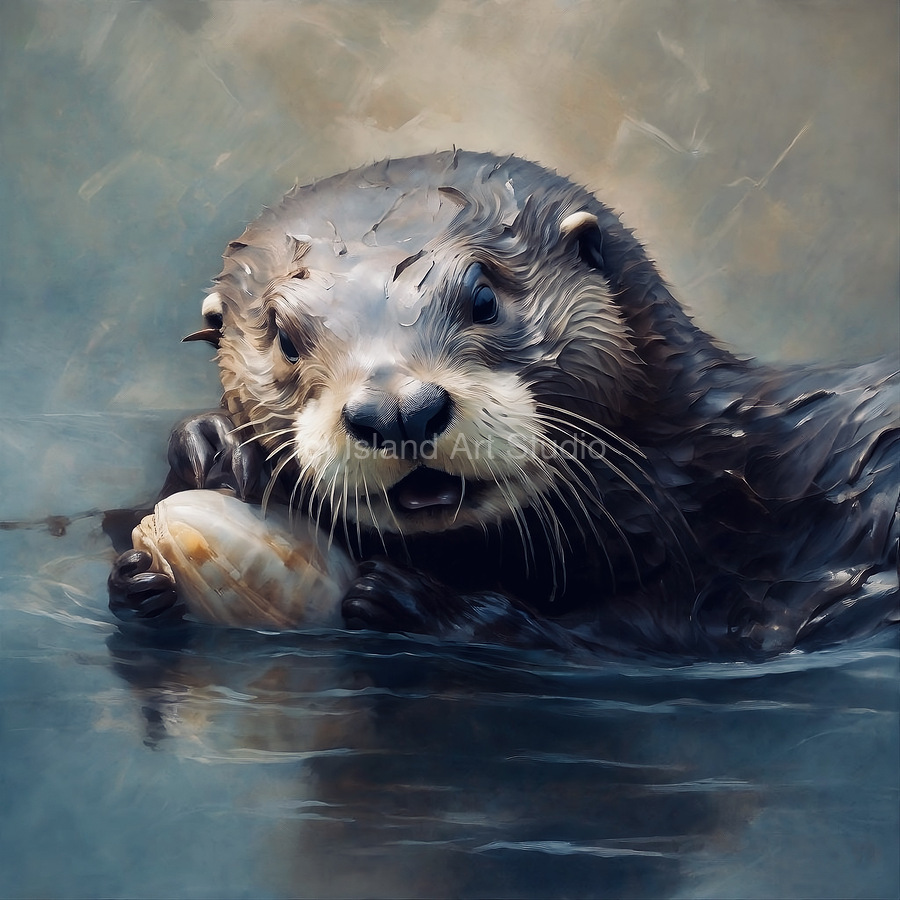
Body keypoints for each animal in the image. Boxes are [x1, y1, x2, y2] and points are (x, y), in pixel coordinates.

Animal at [109, 150, 899, 660]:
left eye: (484, 297)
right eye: (283, 337)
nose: (398, 411)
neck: (705, 482)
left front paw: (426, 606)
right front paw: (207, 456)